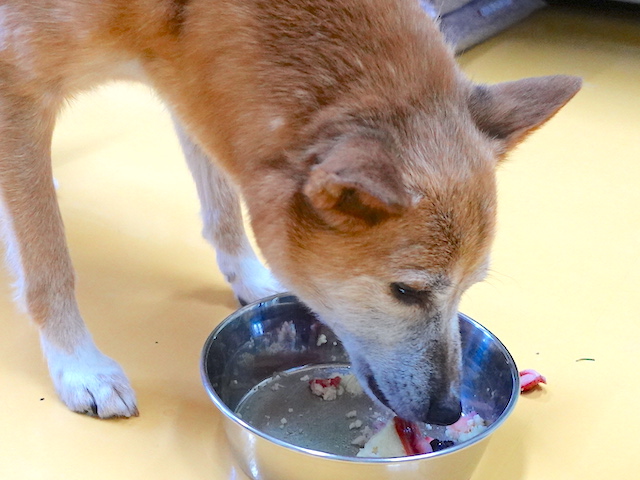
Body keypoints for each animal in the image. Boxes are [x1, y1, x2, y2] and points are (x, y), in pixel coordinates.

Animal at [0, 0, 580, 422]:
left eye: (467, 289)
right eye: (405, 292)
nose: (448, 412)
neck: (184, 14)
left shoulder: (192, 89)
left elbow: (224, 209)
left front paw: (249, 279)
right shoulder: (19, 93)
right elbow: (50, 265)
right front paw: (79, 365)